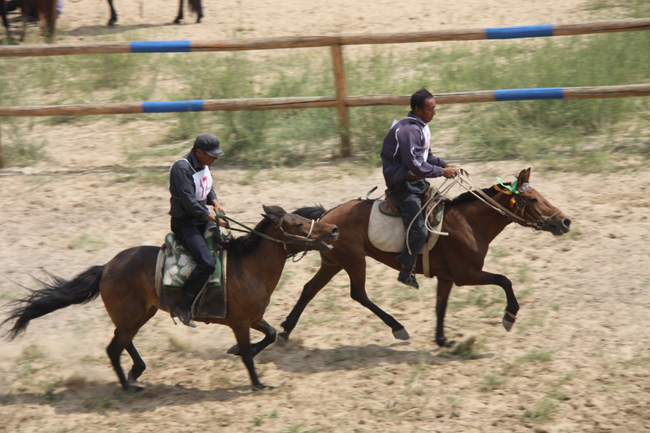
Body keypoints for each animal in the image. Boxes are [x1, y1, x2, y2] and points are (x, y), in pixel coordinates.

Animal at [1, 204, 340, 390]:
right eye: (298, 223)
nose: (334, 229)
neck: (248, 266)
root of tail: (107, 267)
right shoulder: (241, 322)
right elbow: (247, 352)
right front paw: (257, 383)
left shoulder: (254, 318)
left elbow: (269, 336)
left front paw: (238, 354)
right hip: (132, 316)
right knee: (114, 347)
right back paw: (128, 386)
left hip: (141, 313)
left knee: (122, 342)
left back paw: (136, 372)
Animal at [280, 167, 568, 346]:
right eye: (532, 199)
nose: (565, 221)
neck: (468, 223)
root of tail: (327, 216)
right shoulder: (466, 274)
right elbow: (504, 280)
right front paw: (509, 316)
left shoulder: (447, 278)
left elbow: (441, 306)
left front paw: (441, 339)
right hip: (354, 261)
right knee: (358, 294)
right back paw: (397, 327)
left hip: (333, 263)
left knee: (309, 289)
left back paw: (285, 329)